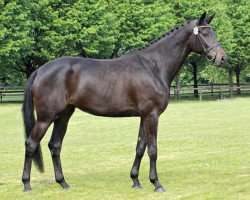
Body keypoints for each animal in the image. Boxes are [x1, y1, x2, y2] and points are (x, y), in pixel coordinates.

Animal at [21, 12, 228, 192]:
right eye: (204, 33)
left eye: (213, 32)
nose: (223, 58)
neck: (153, 66)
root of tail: (40, 70)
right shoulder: (152, 115)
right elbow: (153, 149)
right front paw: (156, 183)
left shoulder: (144, 116)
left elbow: (140, 147)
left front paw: (136, 180)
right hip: (46, 118)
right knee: (31, 143)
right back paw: (27, 184)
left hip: (63, 115)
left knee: (55, 146)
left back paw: (63, 183)